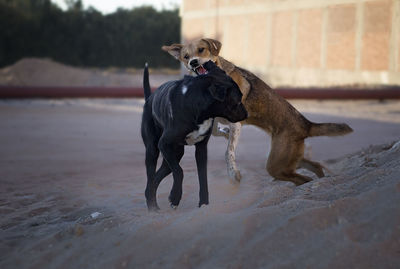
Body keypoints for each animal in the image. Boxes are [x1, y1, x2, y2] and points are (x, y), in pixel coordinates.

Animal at [141, 60, 247, 209]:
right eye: (237, 100)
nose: (246, 115)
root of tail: (149, 98)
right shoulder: (164, 143)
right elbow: (179, 172)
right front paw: (175, 197)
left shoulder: (201, 148)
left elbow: (203, 178)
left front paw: (204, 204)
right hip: (153, 149)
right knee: (151, 176)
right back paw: (153, 207)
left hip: (175, 153)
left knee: (157, 177)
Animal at [161, 38, 352, 184]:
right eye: (186, 57)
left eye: (201, 50)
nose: (193, 62)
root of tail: (306, 124)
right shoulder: (215, 118)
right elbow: (216, 131)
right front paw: (224, 133)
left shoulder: (237, 122)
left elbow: (228, 152)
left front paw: (234, 173)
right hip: (287, 159)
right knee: (313, 167)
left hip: (277, 162)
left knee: (303, 178)